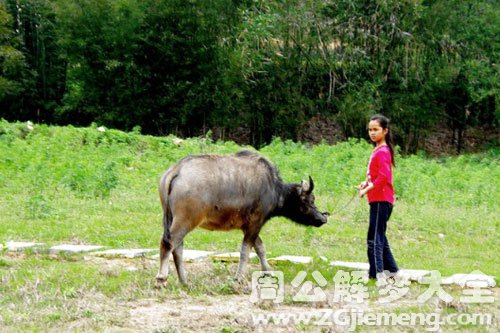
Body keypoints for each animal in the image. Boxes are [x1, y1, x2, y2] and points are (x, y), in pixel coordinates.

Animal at [156, 149, 328, 284]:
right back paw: (162, 277)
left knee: (177, 247)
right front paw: (239, 277)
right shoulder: (255, 223)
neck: (273, 188)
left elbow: (260, 248)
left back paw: (184, 280)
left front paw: (267, 271)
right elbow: (246, 251)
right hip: (186, 220)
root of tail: (177, 170)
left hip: (170, 218)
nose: (322, 218)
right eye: (309, 200)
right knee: (169, 242)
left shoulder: (249, 227)